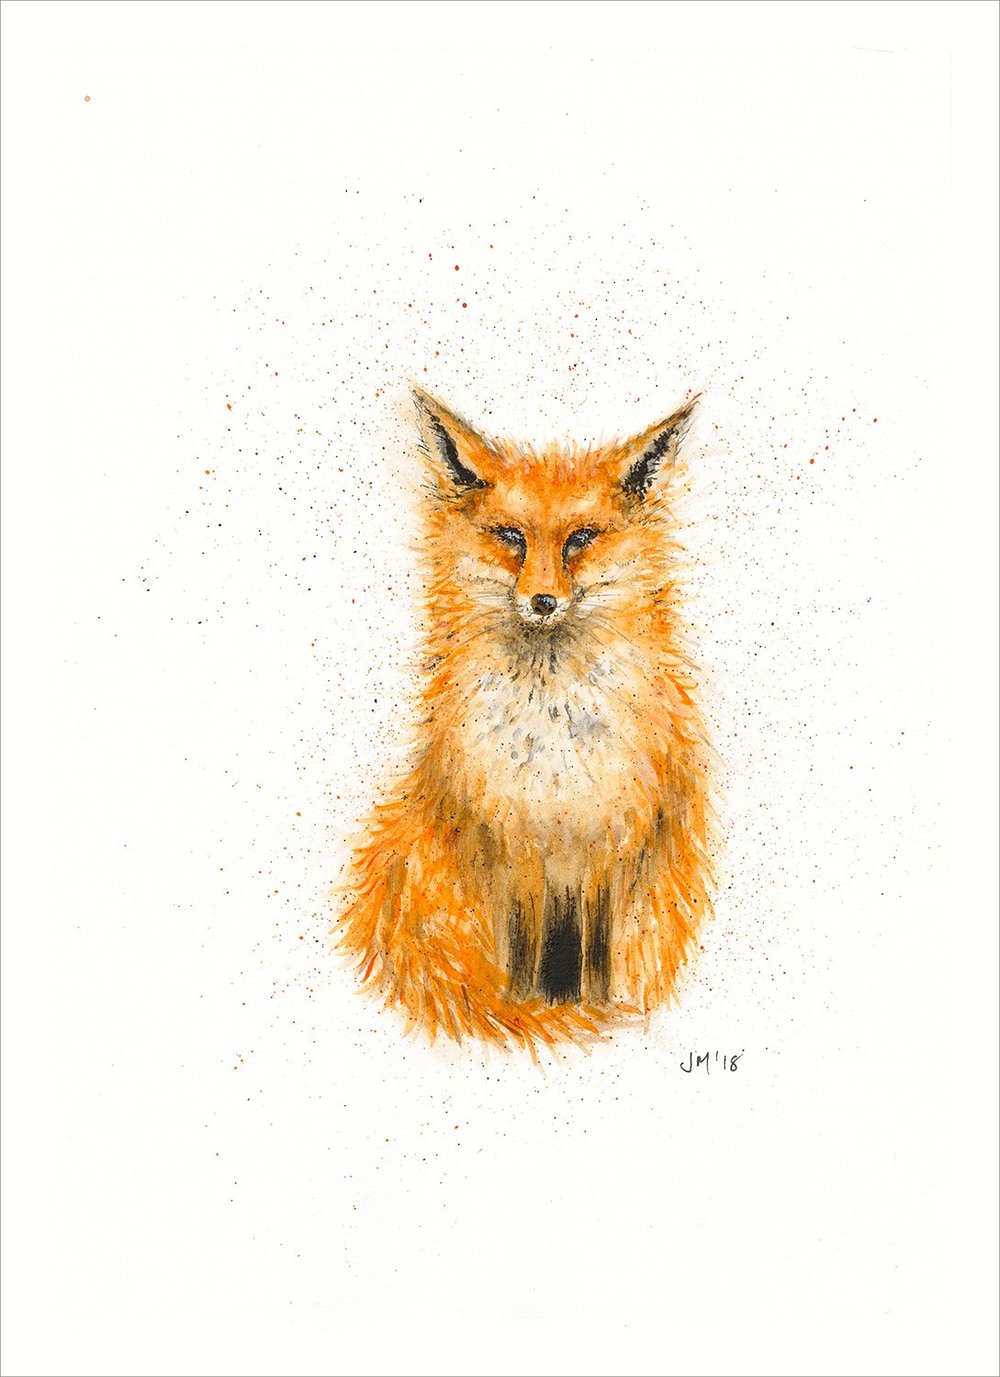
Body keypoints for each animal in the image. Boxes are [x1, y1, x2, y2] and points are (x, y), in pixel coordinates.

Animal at [336, 389, 714, 1051]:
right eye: (511, 536)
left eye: (580, 539)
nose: (542, 601)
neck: (552, 741)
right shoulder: (512, 849)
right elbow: (522, 956)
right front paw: (529, 1008)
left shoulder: (607, 848)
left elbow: (596, 961)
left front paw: (593, 1008)